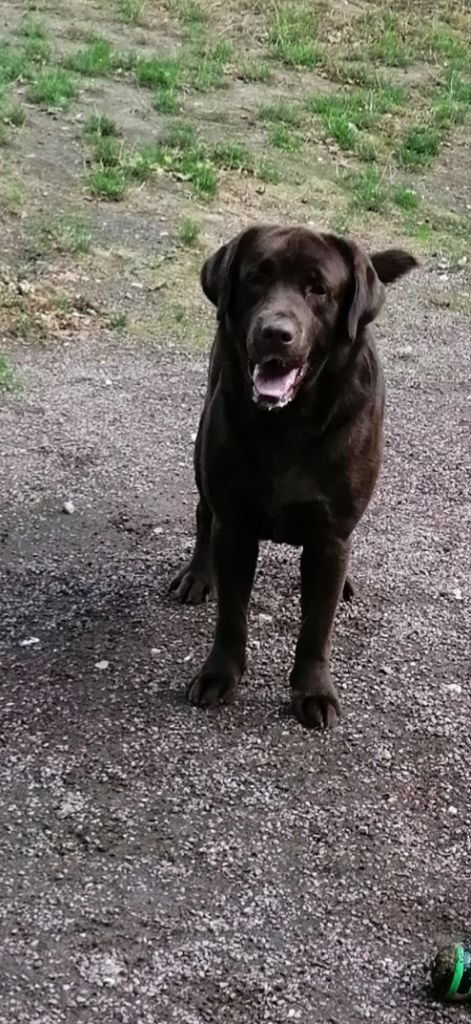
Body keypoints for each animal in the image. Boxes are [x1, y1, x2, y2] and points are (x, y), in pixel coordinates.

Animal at [170, 227, 417, 729]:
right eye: (256, 278)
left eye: (319, 289)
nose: (275, 333)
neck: (290, 423)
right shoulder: (235, 526)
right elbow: (232, 614)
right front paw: (219, 673)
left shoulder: (330, 536)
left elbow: (316, 626)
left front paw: (313, 690)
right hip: (204, 453)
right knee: (204, 512)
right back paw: (198, 574)